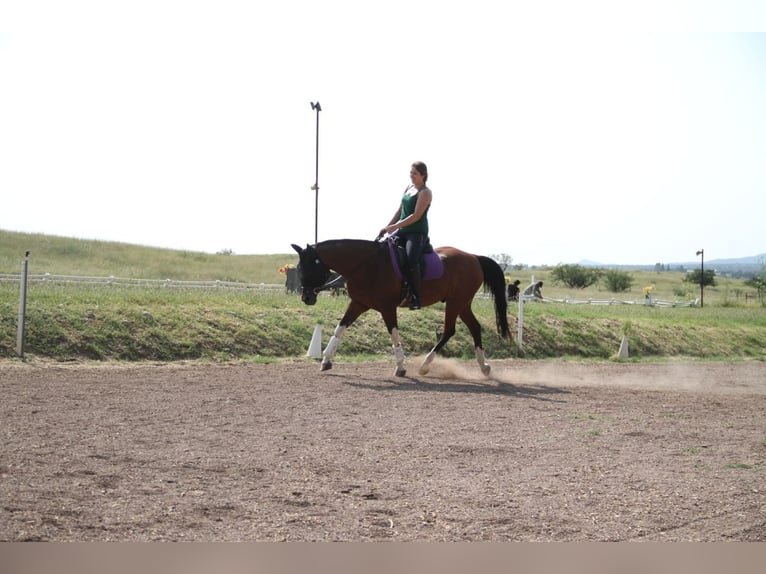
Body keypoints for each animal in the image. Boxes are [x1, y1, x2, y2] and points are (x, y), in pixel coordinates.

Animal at [291, 238, 511, 377]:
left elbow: (394, 334)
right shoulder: (358, 303)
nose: (306, 297)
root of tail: (474, 257)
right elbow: (340, 329)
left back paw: (424, 365)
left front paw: (400, 367)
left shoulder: (387, 307)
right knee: (474, 328)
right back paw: (484, 367)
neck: (365, 265)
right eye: (299, 268)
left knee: (449, 330)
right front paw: (326, 360)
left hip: (456, 302)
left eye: (309, 267)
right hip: (462, 304)